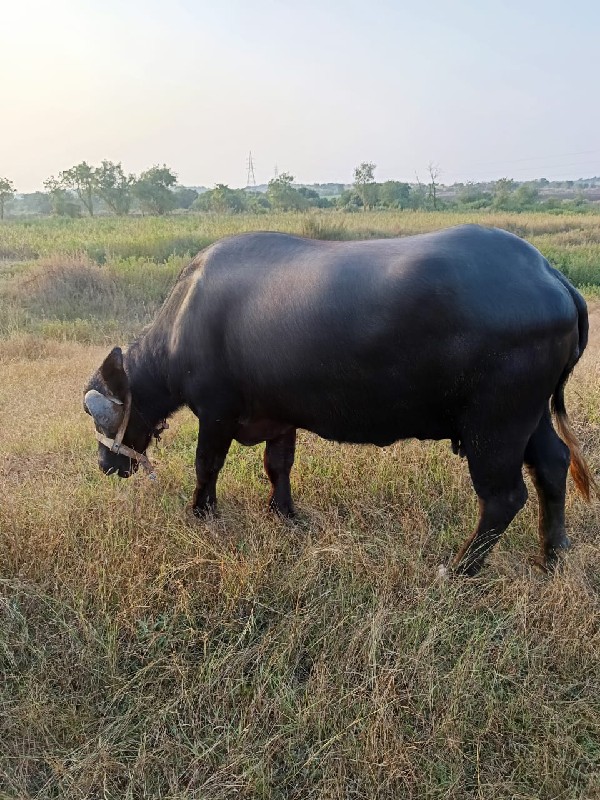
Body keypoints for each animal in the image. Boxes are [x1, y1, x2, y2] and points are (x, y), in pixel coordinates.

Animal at [84, 225, 596, 576]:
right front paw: (284, 514)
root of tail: (551, 277)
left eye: (98, 416)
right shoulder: (280, 416)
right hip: (531, 415)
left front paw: (202, 513)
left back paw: (459, 568)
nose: (106, 465)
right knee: (552, 465)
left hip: (495, 424)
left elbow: (206, 465)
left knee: (504, 497)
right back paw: (552, 556)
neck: (183, 322)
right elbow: (278, 465)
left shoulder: (216, 413)